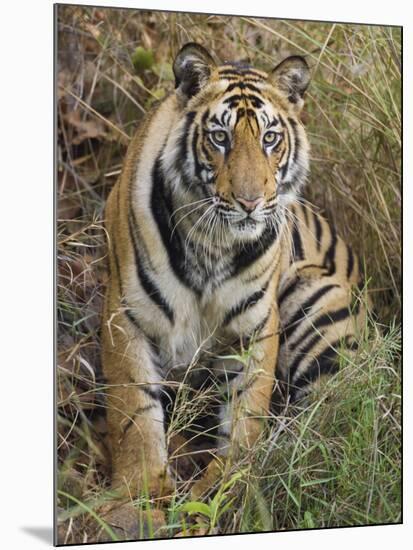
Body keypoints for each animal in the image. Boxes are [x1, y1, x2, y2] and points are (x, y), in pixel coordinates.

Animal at [101, 43, 366, 506]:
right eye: (220, 138)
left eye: (269, 139)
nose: (250, 202)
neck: (212, 243)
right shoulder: (125, 316)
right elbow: (133, 412)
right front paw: (141, 496)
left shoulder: (256, 327)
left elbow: (246, 414)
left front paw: (228, 486)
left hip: (315, 301)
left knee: (327, 419)